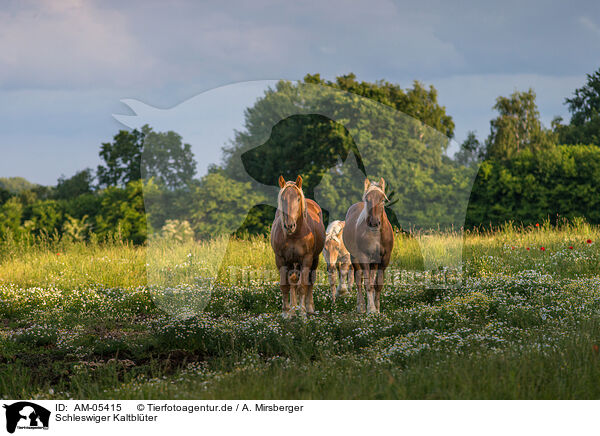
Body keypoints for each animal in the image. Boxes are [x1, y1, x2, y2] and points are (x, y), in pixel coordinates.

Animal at [272, 175, 326, 316]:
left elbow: (303, 286)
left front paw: (302, 312)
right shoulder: (280, 259)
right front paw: (286, 313)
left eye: (297, 198)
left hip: (314, 260)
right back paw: (292, 309)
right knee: (293, 282)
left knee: (310, 281)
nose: (289, 226)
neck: (294, 236)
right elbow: (285, 286)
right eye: (283, 199)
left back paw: (309, 308)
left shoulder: (307, 259)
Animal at [342, 177, 394, 314]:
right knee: (358, 280)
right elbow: (367, 284)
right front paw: (371, 310)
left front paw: (377, 308)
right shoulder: (364, 257)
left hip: (374, 262)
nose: (374, 223)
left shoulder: (384, 259)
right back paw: (361, 307)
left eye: (382, 200)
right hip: (355, 258)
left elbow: (378, 284)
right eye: (367, 199)